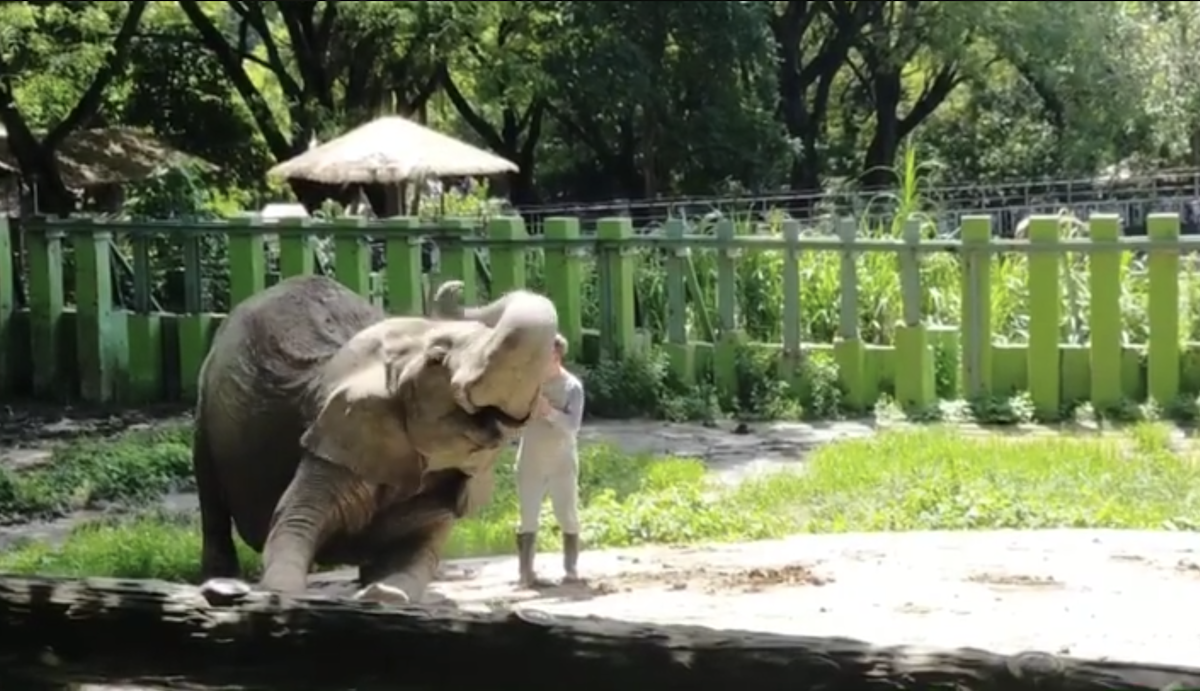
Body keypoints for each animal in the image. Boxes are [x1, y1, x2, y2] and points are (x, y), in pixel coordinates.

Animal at [192, 275, 556, 604]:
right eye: (437, 358)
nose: (456, 287)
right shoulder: (333, 441)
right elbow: (293, 520)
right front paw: (281, 594)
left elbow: (418, 556)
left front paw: (384, 594)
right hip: (204, 401)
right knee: (209, 494)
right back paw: (220, 580)